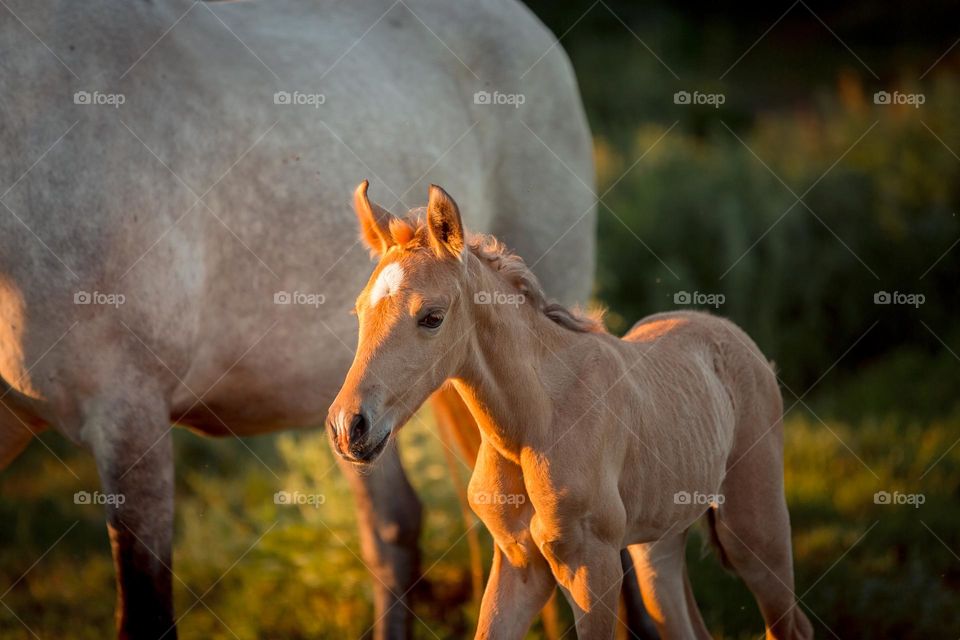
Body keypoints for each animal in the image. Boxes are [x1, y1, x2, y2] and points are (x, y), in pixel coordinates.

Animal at [328, 181, 808, 640]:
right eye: (359, 311)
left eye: (431, 316)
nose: (349, 426)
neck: (533, 425)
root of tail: (729, 332)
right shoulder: (519, 563)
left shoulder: (591, 566)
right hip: (658, 546)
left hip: (754, 529)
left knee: (789, 626)